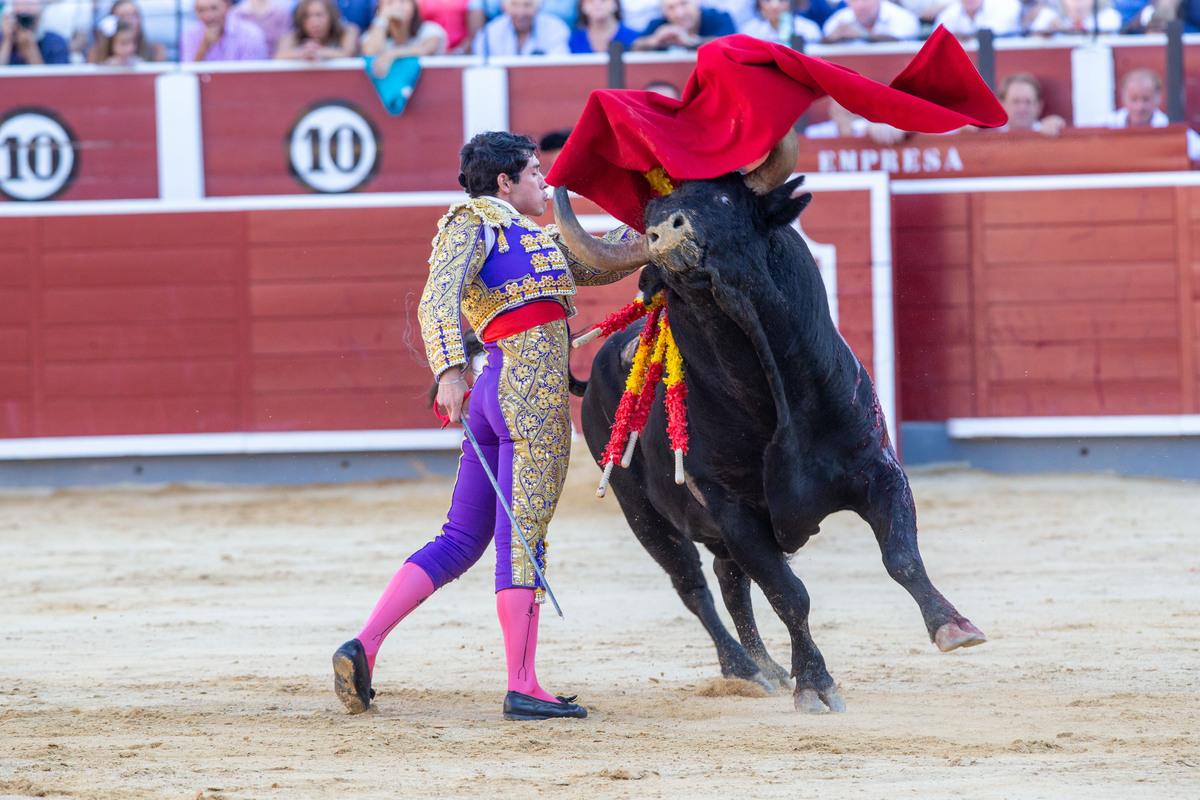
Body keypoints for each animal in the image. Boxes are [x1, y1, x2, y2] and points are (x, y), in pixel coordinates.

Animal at [552, 136, 984, 714]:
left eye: (723, 200)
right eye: (649, 217)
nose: (665, 234)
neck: (776, 401)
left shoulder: (878, 469)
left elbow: (901, 556)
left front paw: (953, 626)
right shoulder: (734, 510)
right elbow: (789, 593)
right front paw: (815, 685)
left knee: (728, 579)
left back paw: (768, 666)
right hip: (640, 510)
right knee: (693, 585)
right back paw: (745, 668)